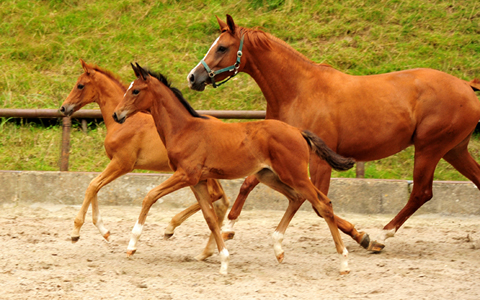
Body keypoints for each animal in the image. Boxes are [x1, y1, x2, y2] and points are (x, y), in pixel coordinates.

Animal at [110, 62, 354, 274]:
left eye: (135, 91)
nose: (116, 114)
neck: (184, 129)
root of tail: (298, 131)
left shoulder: (185, 175)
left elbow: (150, 196)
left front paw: (132, 245)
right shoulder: (198, 181)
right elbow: (210, 218)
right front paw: (224, 260)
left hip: (295, 175)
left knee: (323, 204)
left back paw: (343, 262)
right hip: (269, 176)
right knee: (295, 198)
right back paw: (278, 248)